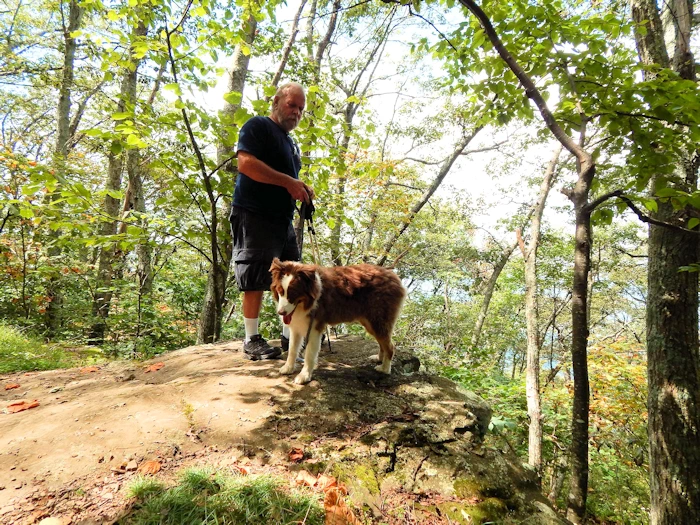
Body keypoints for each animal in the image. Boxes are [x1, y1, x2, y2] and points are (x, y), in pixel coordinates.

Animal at [270, 258, 410, 384]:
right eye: (280, 291)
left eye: (293, 294)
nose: (280, 313)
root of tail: (393, 275)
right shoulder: (297, 325)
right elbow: (292, 349)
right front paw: (288, 368)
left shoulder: (315, 327)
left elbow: (309, 354)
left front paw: (304, 376)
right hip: (371, 323)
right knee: (382, 343)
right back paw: (379, 358)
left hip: (378, 319)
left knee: (390, 346)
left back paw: (385, 369)